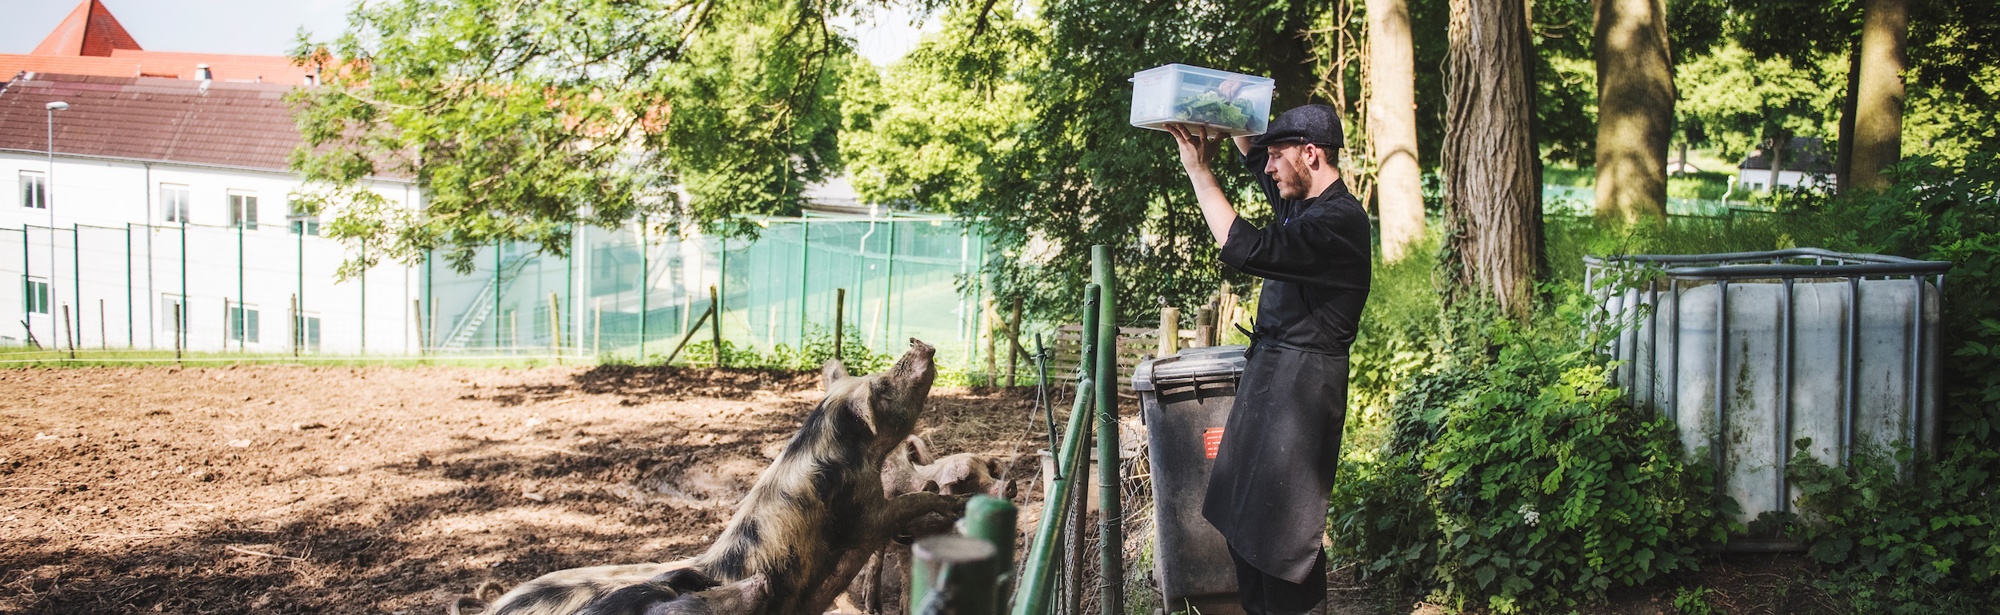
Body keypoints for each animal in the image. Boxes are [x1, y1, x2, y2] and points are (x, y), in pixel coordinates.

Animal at [476, 341, 960, 615]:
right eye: (882, 385)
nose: (921, 345)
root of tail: (491, 604)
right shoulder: (860, 508)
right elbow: (898, 508)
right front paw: (950, 503)